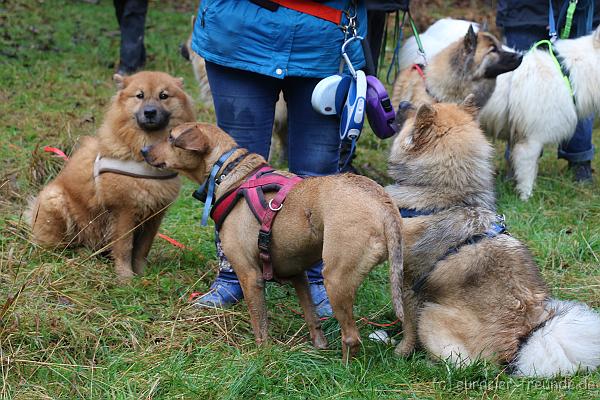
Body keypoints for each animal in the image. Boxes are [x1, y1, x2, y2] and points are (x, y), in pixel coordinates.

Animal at [27, 70, 195, 280]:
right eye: (140, 95)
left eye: (163, 95)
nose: (149, 112)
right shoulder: (124, 212)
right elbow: (124, 248)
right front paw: (125, 277)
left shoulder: (154, 215)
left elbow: (142, 249)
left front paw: (142, 274)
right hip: (55, 200)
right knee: (60, 245)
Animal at [140, 122, 404, 360]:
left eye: (171, 137)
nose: (143, 150)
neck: (230, 171)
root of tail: (383, 204)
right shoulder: (298, 274)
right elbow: (311, 316)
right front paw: (318, 346)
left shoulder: (250, 276)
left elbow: (260, 323)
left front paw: (262, 354)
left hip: (335, 279)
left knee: (351, 338)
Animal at [384, 96, 600, 376]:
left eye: (414, 113)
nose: (401, 103)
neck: (447, 194)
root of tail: (520, 343)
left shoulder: (408, 282)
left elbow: (407, 325)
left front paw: (400, 352)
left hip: (431, 315)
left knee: (463, 363)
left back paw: (428, 363)